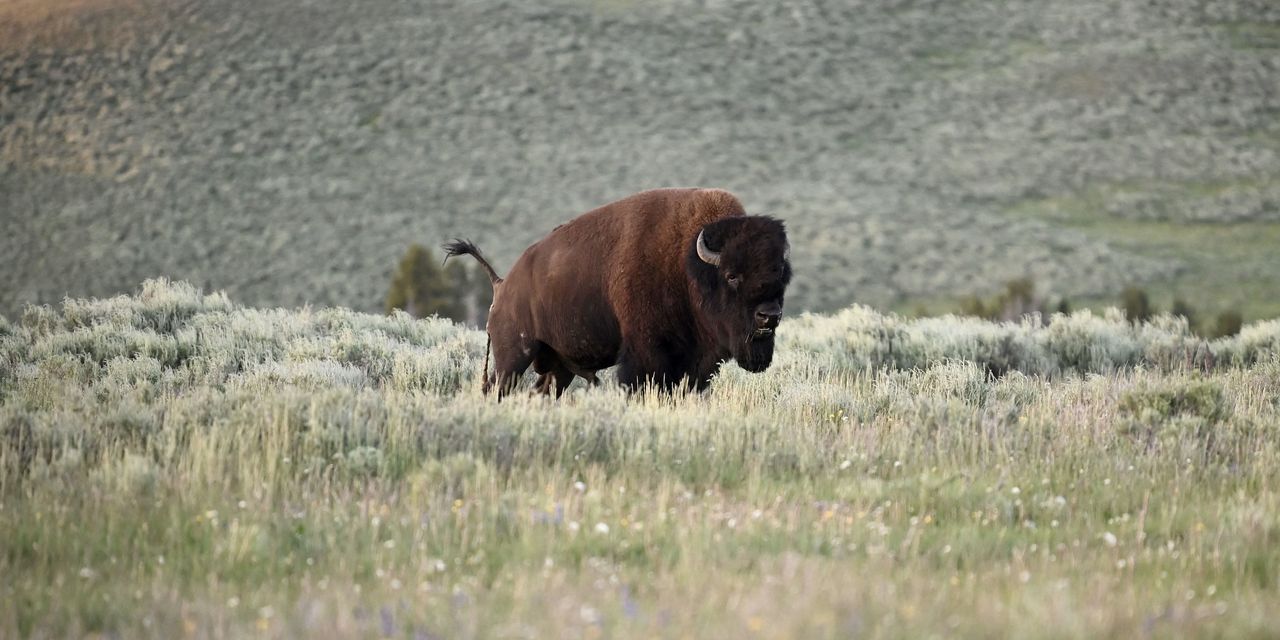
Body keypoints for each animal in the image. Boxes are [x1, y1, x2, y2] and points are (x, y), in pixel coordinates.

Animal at [444, 187, 791, 396]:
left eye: (781, 275)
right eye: (732, 276)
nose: (769, 316)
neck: (687, 264)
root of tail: (503, 284)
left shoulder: (695, 364)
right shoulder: (645, 355)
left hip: (557, 365)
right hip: (514, 356)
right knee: (498, 388)